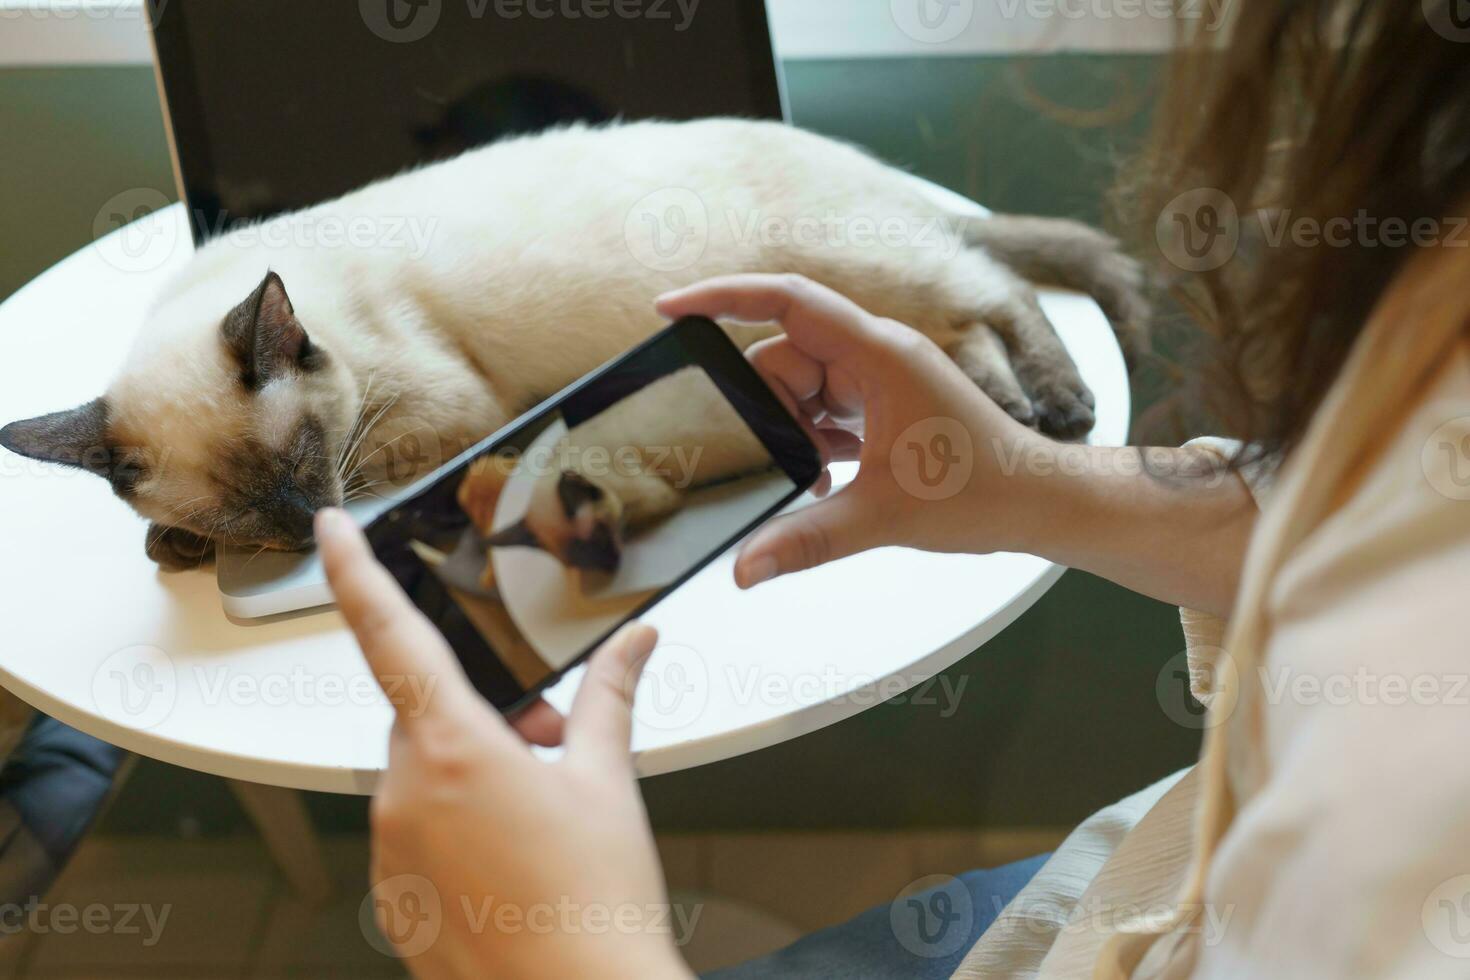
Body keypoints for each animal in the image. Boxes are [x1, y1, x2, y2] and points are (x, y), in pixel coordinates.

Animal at [0, 119, 1146, 570]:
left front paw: (182, 551)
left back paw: (1056, 405)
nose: (311, 530)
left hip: (846, 267)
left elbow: (388, 455)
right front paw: (177, 545)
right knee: (959, 324)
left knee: (994, 289)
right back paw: (1010, 404)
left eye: (305, 464)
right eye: (248, 512)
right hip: (860, 297)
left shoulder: (436, 414)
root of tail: (841, 152)